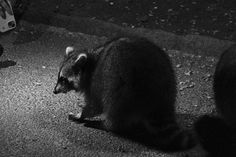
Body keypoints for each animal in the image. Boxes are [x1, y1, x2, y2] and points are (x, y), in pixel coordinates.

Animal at [53, 36, 195, 151]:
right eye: (59, 77)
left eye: (63, 79)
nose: (54, 91)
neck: (91, 63)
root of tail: (162, 98)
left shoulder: (96, 82)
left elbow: (95, 105)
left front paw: (81, 114)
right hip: (169, 77)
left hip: (127, 90)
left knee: (113, 104)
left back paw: (107, 125)